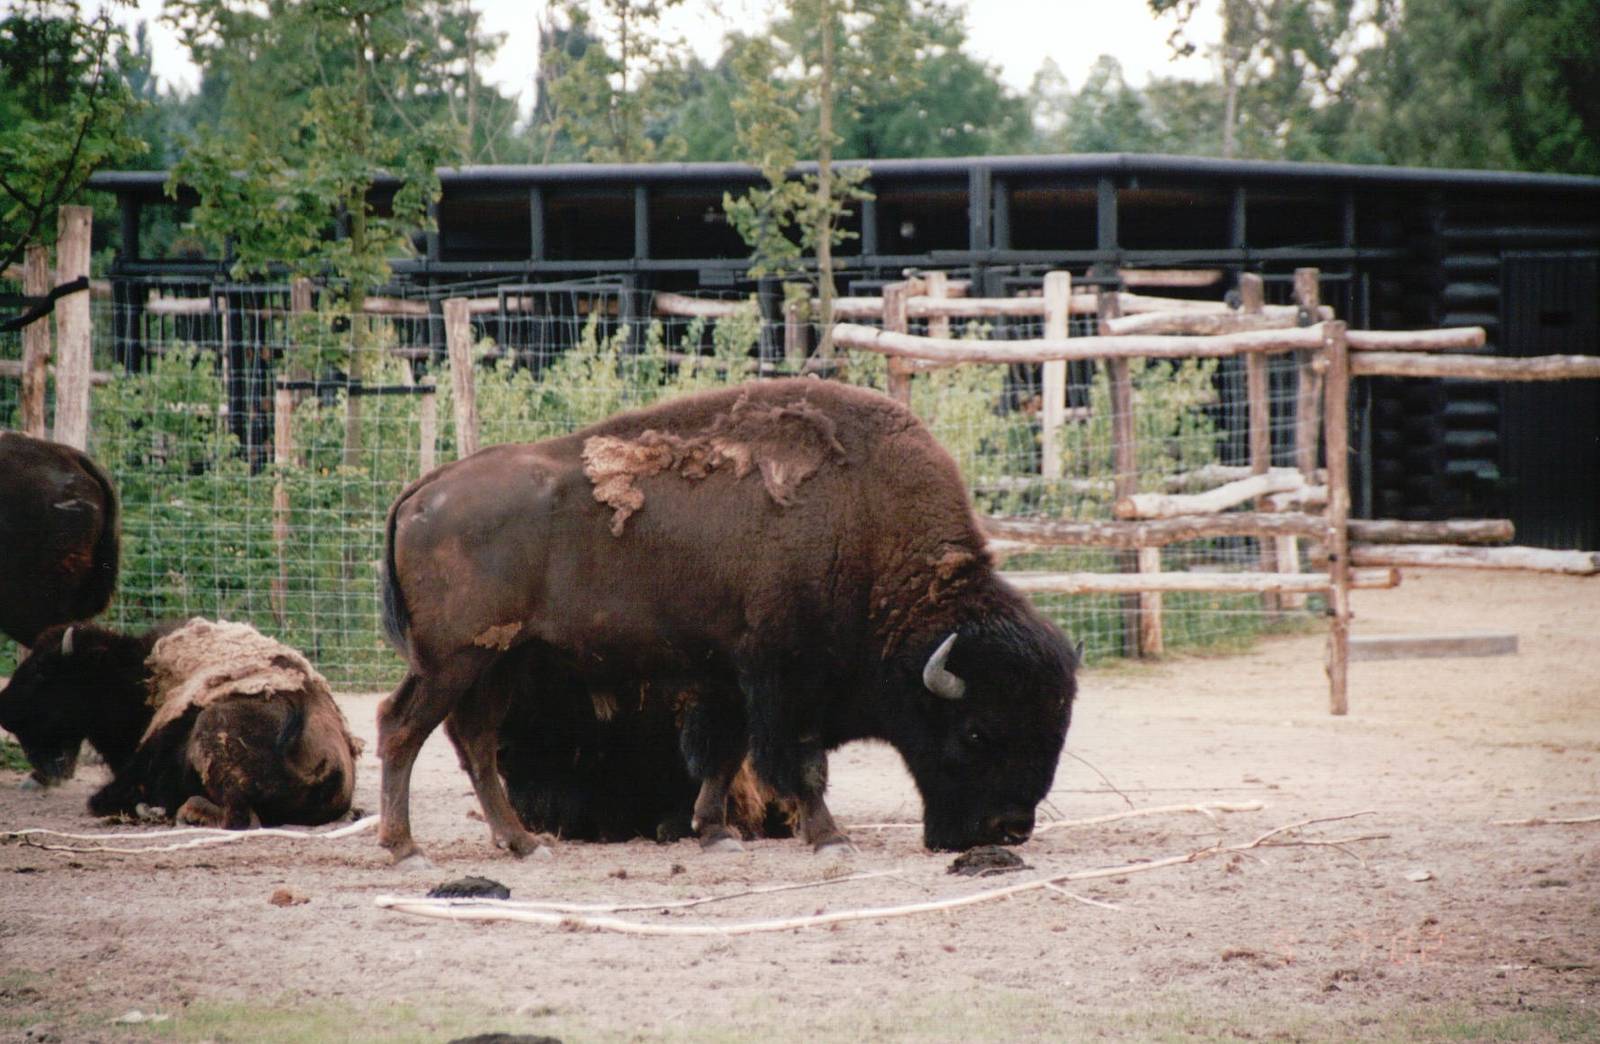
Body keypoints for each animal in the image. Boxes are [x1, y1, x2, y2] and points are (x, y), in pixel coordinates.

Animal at [0, 618, 360, 828]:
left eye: (43, 669)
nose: (7, 711)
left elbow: (99, 800)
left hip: (211, 729)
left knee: (240, 818)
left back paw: (182, 812)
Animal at [379, 378, 1077, 863]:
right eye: (978, 732)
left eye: (1055, 728)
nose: (1009, 829)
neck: (870, 533)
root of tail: (423, 490)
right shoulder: (784, 681)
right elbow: (799, 764)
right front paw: (831, 839)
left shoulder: (728, 677)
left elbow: (721, 754)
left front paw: (715, 835)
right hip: (453, 659)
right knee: (401, 727)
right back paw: (407, 850)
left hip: (501, 661)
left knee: (473, 741)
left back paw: (524, 844)